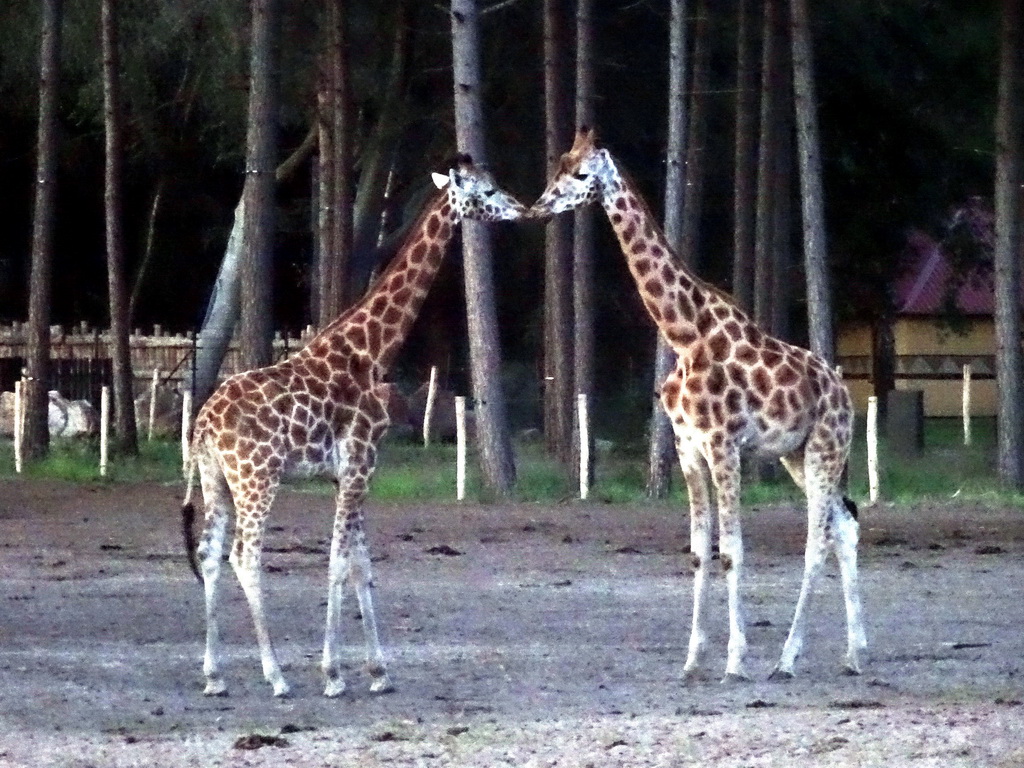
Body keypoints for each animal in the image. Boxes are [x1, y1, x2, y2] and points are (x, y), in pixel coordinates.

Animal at [181, 159, 528, 700]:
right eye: (487, 191)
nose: (518, 207)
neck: (370, 352)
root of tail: (203, 424)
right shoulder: (360, 464)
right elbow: (338, 562)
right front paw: (333, 674)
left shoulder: (351, 473)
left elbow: (362, 564)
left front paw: (379, 672)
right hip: (258, 478)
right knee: (245, 556)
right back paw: (276, 677)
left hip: (218, 480)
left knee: (210, 553)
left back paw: (215, 676)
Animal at [532, 128, 868, 684]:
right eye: (557, 166)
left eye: (580, 175)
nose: (539, 207)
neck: (684, 334)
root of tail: (846, 395)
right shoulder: (689, 448)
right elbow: (697, 552)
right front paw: (691, 661)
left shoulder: (724, 446)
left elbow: (731, 550)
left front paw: (735, 661)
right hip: (795, 456)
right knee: (844, 526)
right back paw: (856, 653)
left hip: (825, 448)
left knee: (818, 539)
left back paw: (787, 659)